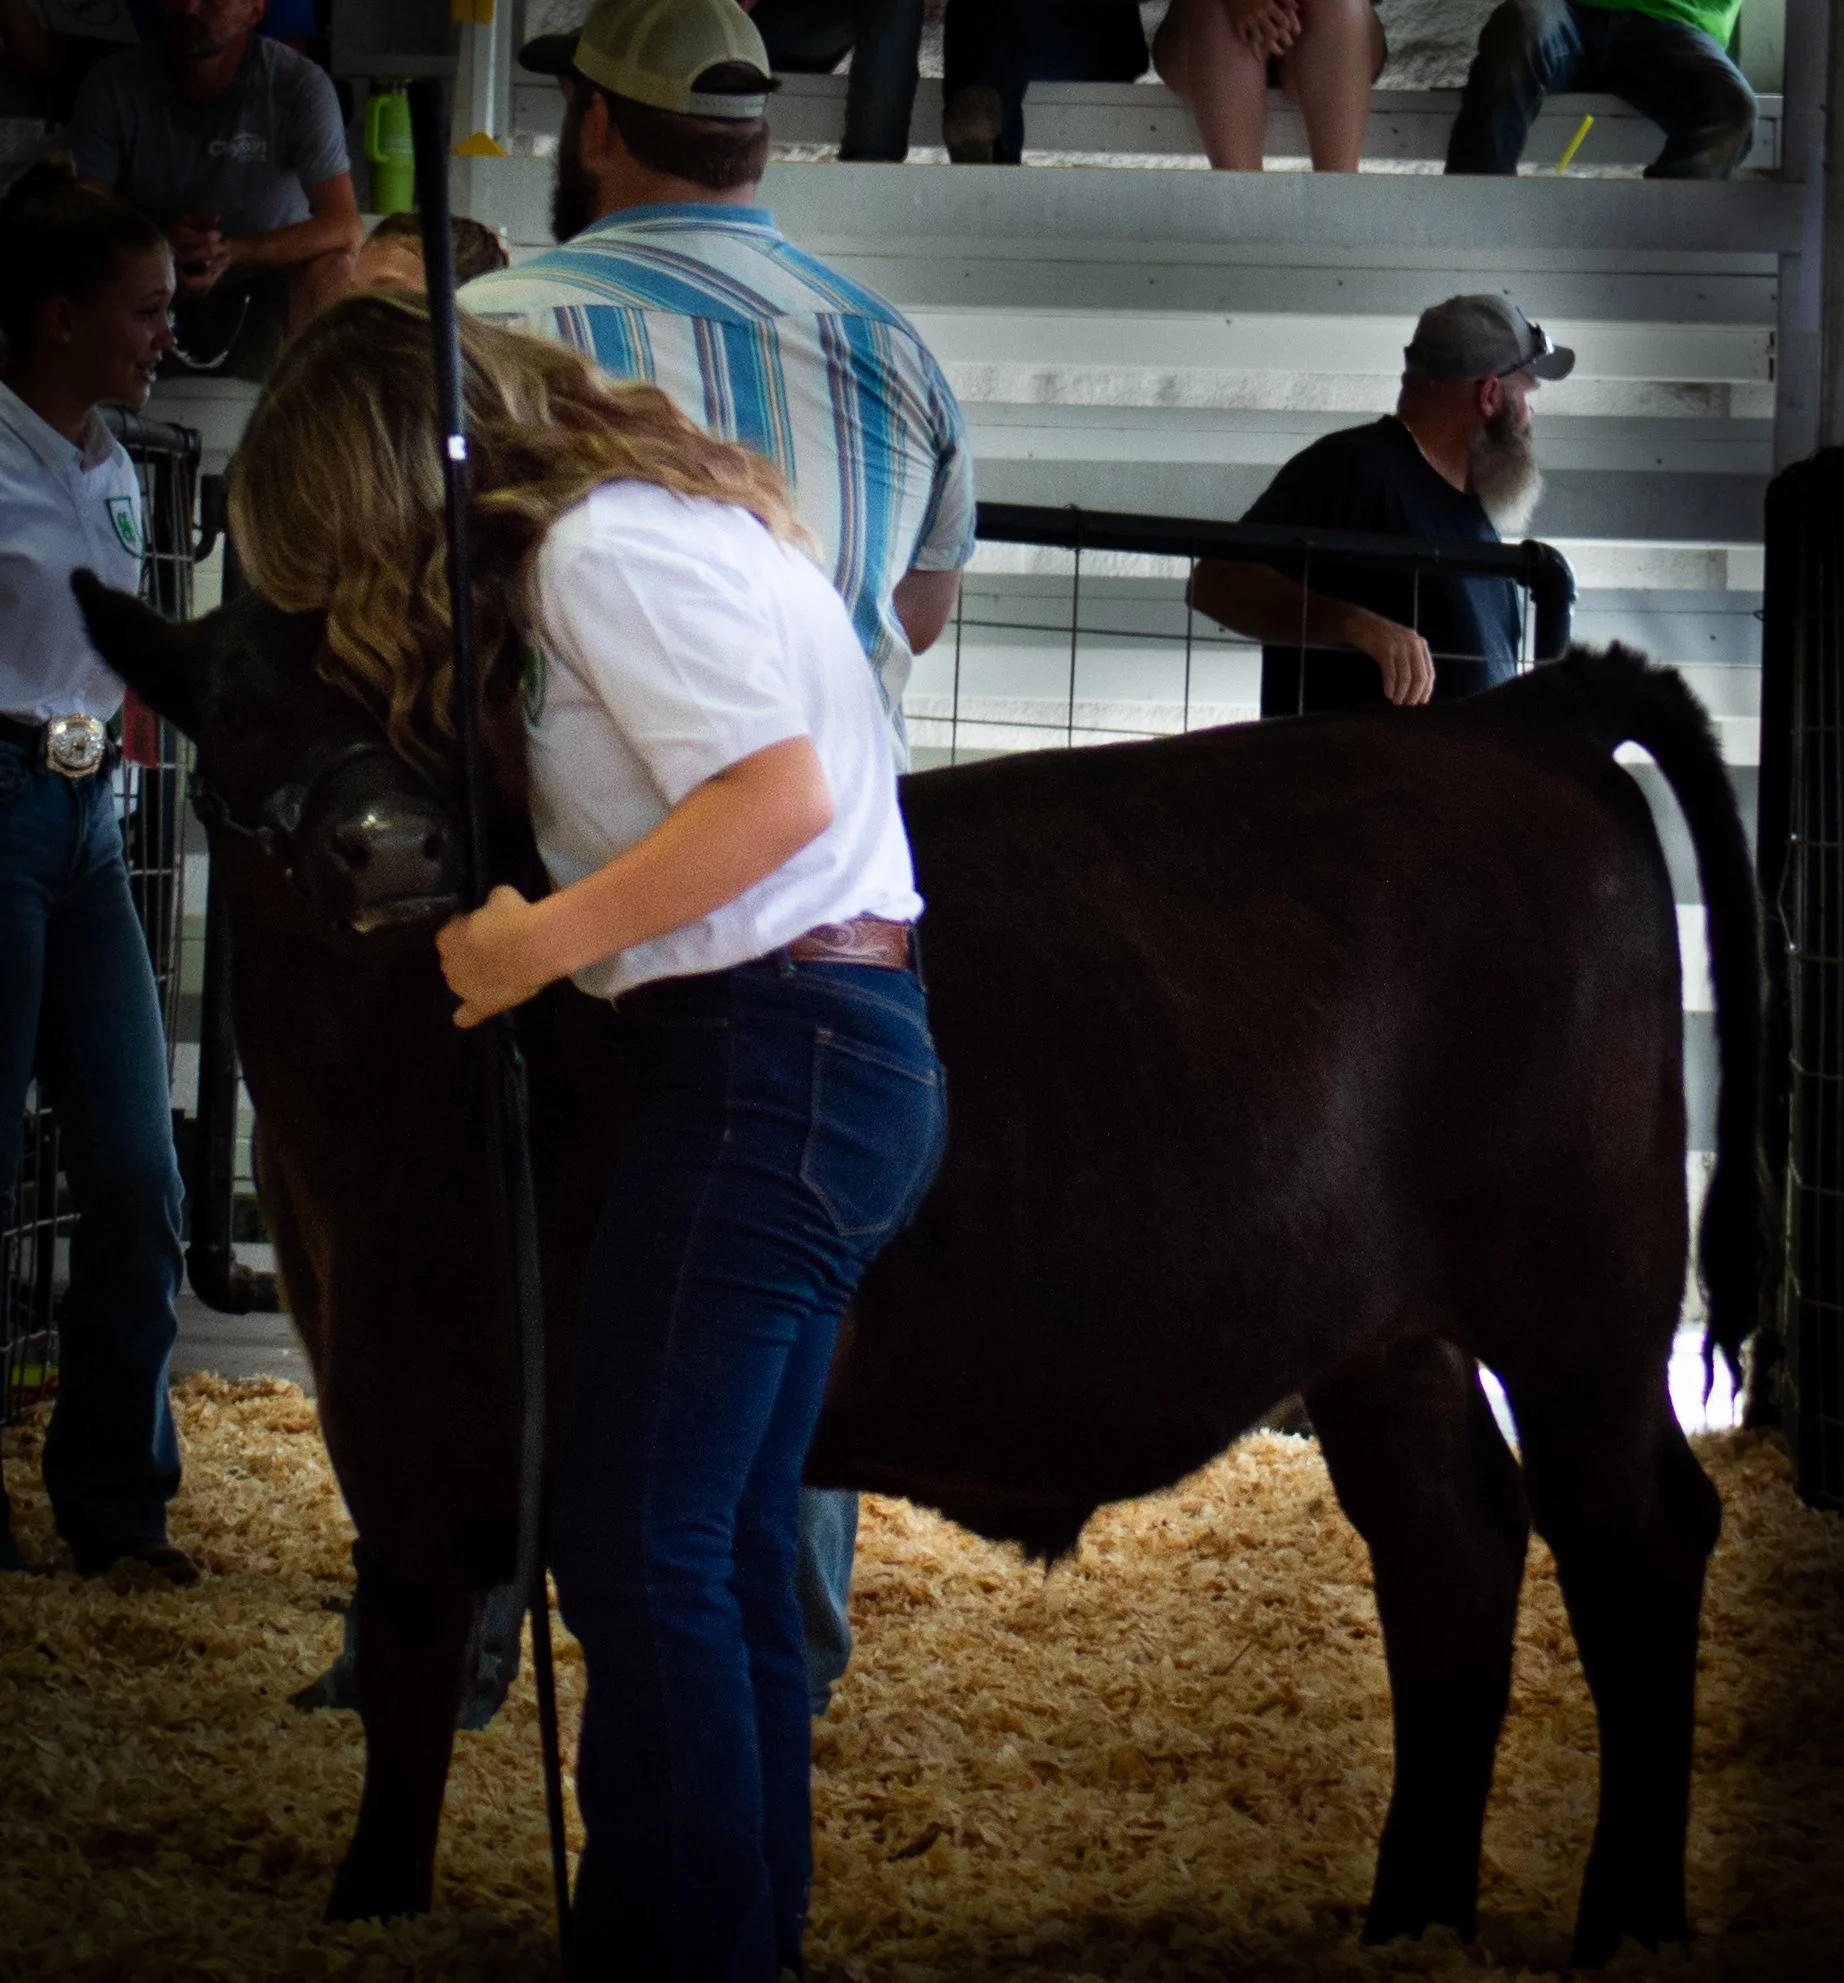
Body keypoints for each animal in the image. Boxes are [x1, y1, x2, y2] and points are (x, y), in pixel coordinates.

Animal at [75, 571, 1760, 1968]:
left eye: (429, 685)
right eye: (227, 710)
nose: (397, 850)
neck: (376, 1134)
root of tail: (1515, 716)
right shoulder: (404, 1408)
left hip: (1583, 1293)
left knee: (1634, 1528)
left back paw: (1627, 1919)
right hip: (1386, 1331)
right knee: (1451, 1541)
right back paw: (1412, 1913)